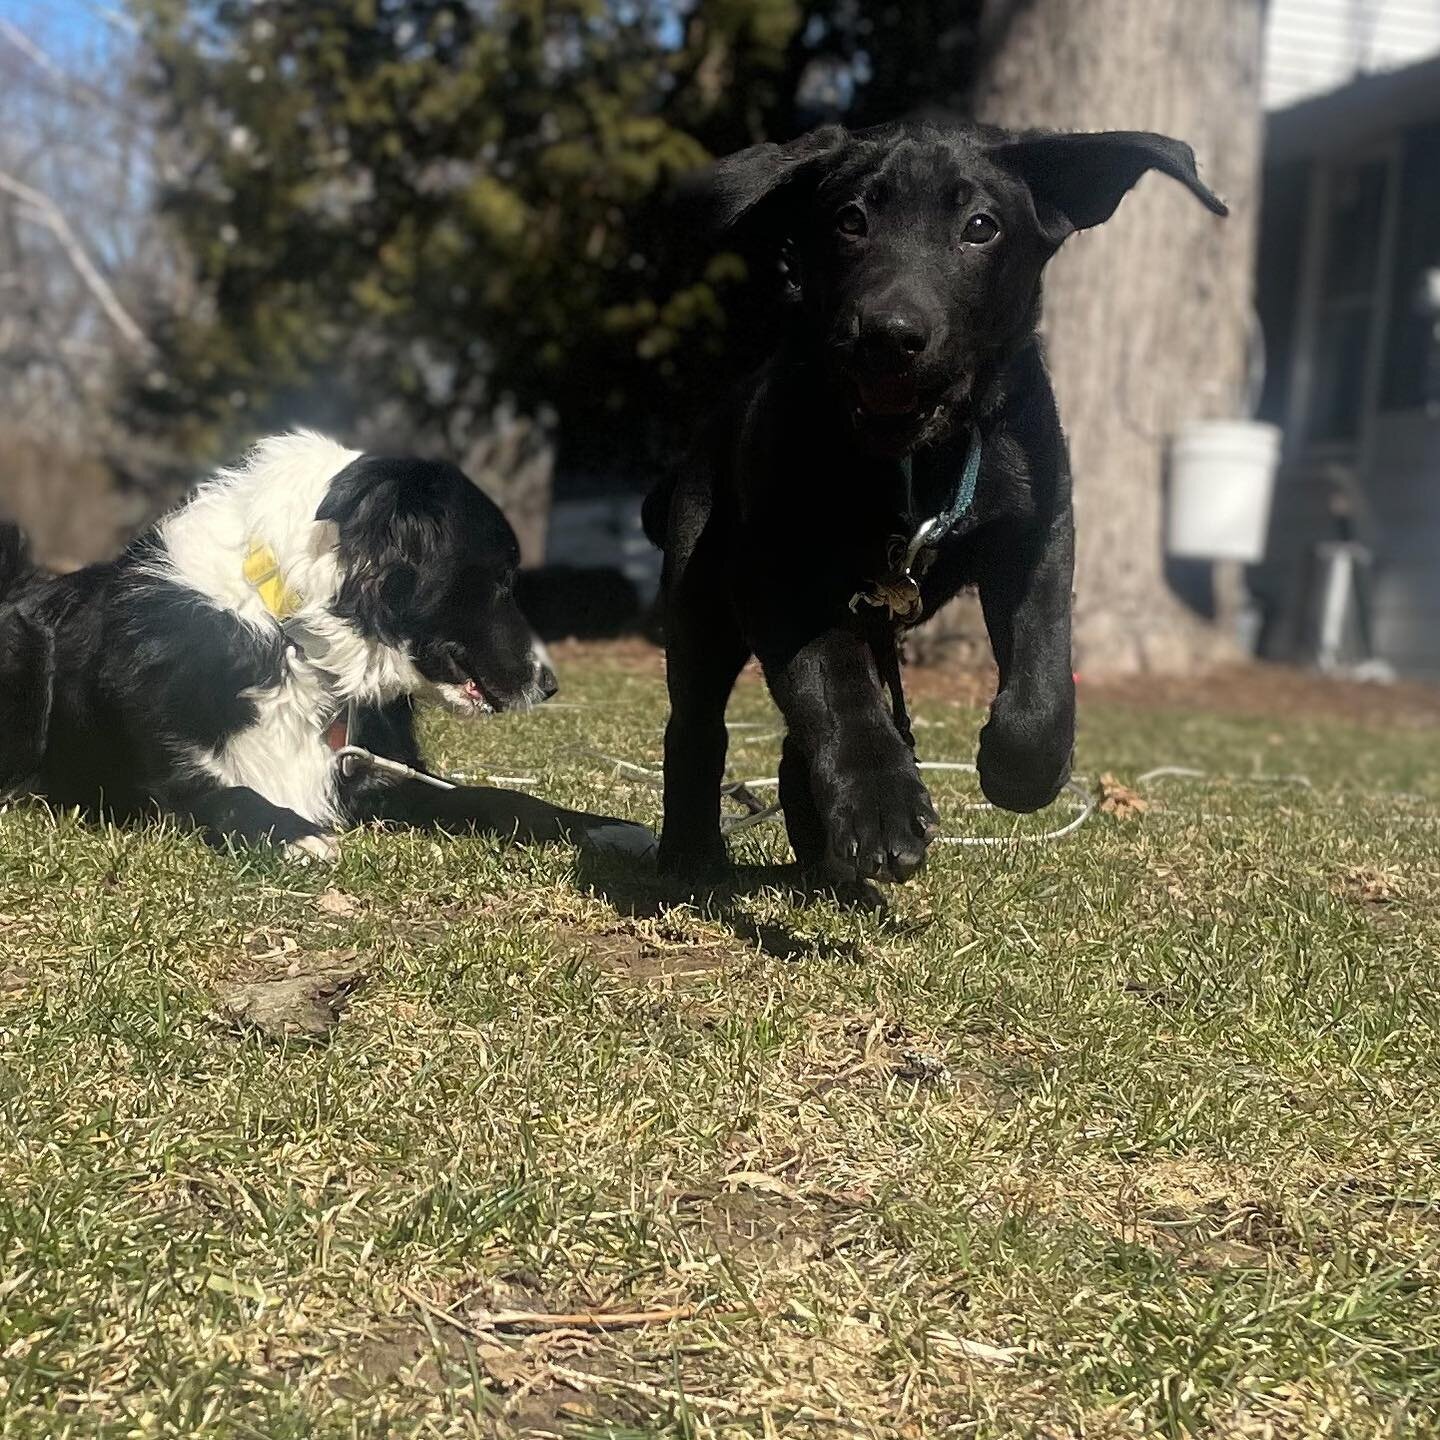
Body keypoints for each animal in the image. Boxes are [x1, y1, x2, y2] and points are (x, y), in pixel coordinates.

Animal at [0, 423, 653, 852]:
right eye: (500, 580)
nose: (550, 684)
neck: (294, 643)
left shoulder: (377, 774)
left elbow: (496, 798)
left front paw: (601, 826)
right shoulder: (157, 781)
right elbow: (223, 796)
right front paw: (290, 831)